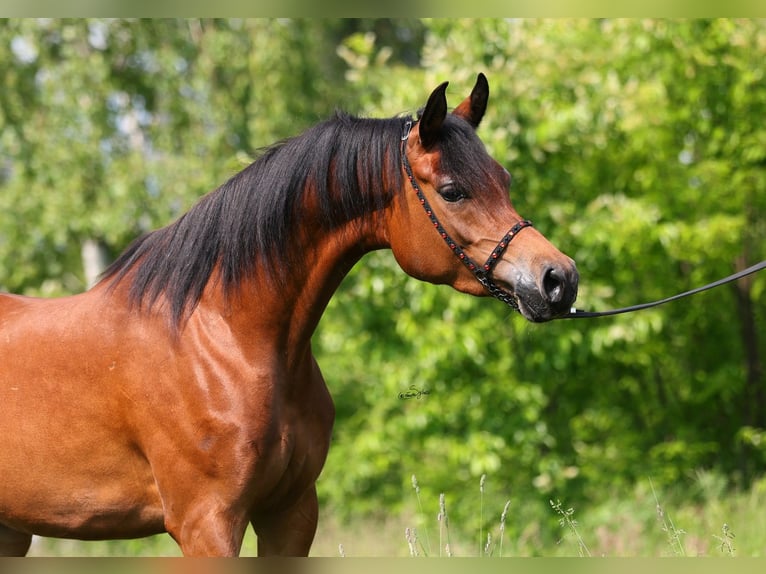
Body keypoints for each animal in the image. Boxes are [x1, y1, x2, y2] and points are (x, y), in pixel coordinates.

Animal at [0, 74, 578, 556]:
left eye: (504, 178)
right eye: (454, 191)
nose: (559, 278)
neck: (226, 338)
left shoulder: (292, 514)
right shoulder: (207, 524)